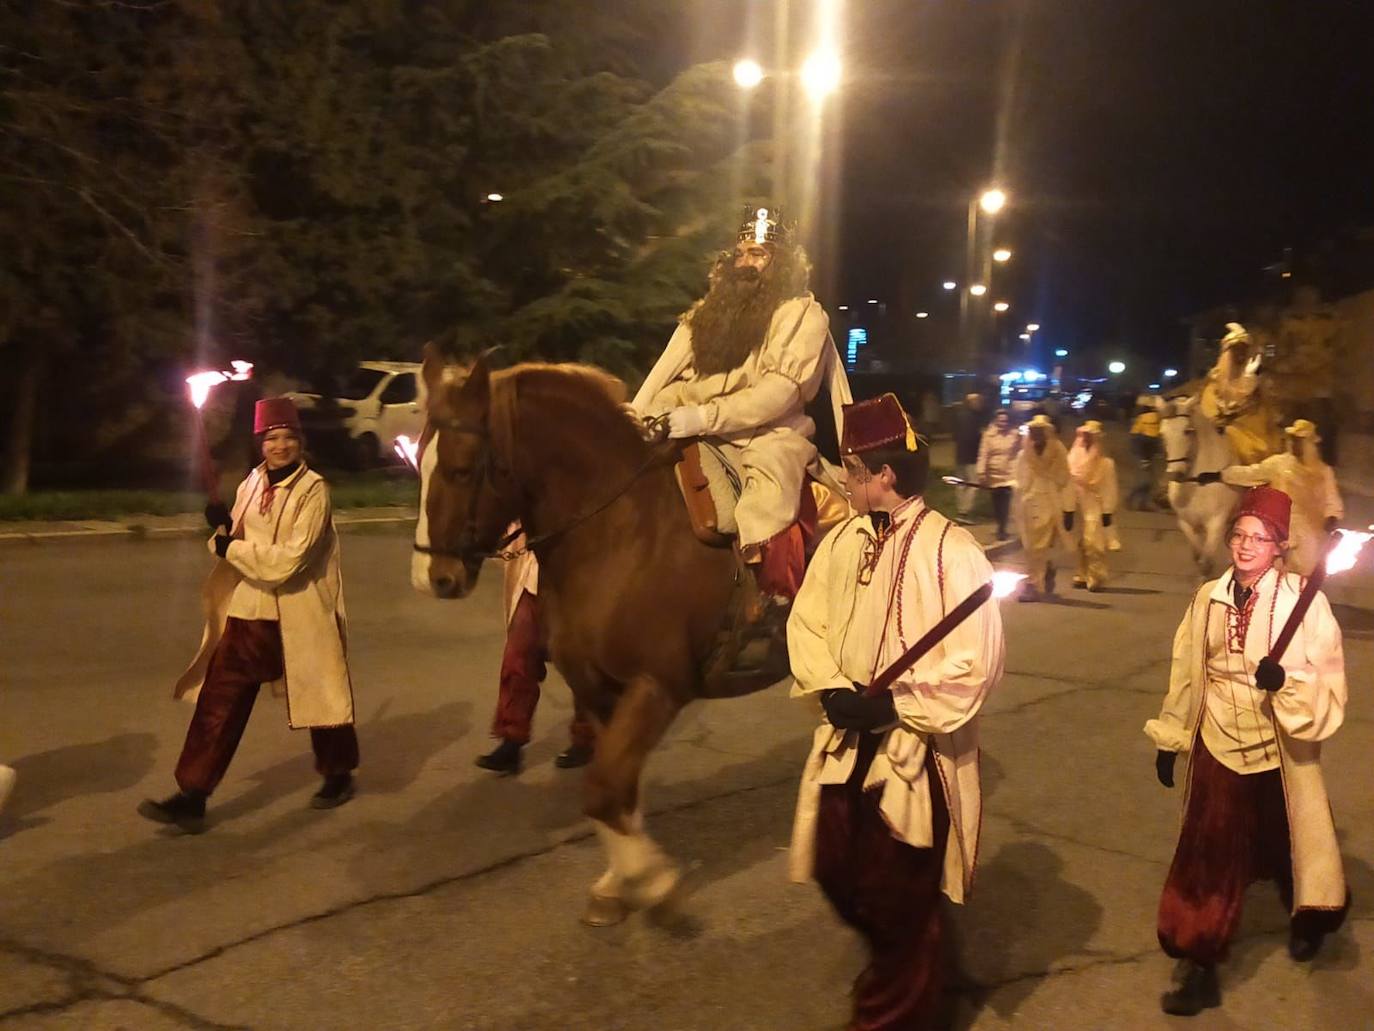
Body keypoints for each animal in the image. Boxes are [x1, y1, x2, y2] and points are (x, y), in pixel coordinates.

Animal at [409, 349, 785, 929]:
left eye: (461, 469)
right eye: (419, 464)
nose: (434, 577)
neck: (622, 532)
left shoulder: (657, 686)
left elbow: (604, 792)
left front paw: (655, 883)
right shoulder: (599, 690)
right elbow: (618, 791)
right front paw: (619, 883)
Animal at [1159, 395, 1247, 577]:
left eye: (1187, 430)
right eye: (1162, 434)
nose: (1175, 475)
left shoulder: (1216, 523)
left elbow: (1206, 563)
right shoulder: (1186, 522)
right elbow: (1198, 555)